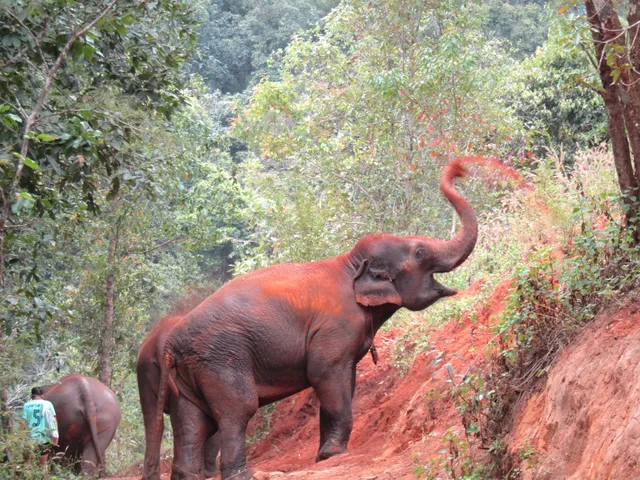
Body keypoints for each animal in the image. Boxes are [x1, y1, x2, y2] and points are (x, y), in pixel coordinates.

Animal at [140, 157, 478, 480]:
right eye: (419, 253)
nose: (460, 169)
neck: (349, 264)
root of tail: (170, 344)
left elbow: (345, 382)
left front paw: (324, 454)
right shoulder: (335, 329)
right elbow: (325, 375)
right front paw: (333, 455)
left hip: (190, 373)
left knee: (192, 422)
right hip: (220, 361)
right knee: (236, 411)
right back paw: (243, 475)